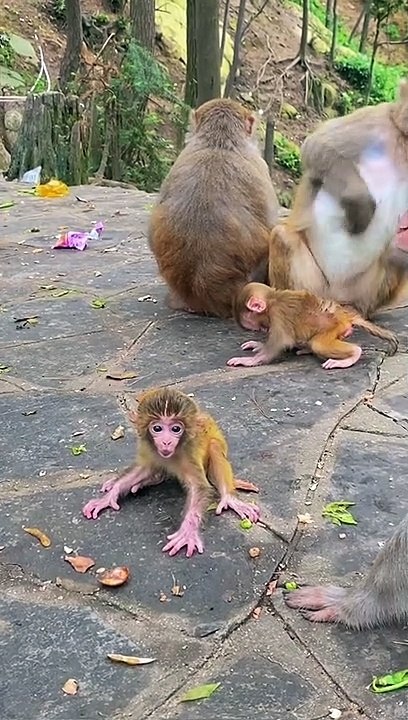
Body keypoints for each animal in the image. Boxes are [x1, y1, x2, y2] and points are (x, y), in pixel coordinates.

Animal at [82, 387, 260, 558]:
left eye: (175, 429)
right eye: (157, 428)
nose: (166, 442)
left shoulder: (188, 452)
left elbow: (199, 487)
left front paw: (187, 531)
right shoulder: (148, 446)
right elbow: (143, 468)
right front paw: (109, 496)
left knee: (215, 446)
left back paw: (230, 498)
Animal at [226, 282, 398, 370]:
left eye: (259, 326)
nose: (263, 330)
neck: (273, 298)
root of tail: (344, 315)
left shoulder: (278, 313)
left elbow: (281, 341)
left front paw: (248, 361)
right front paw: (258, 345)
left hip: (334, 327)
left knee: (319, 344)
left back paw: (353, 354)